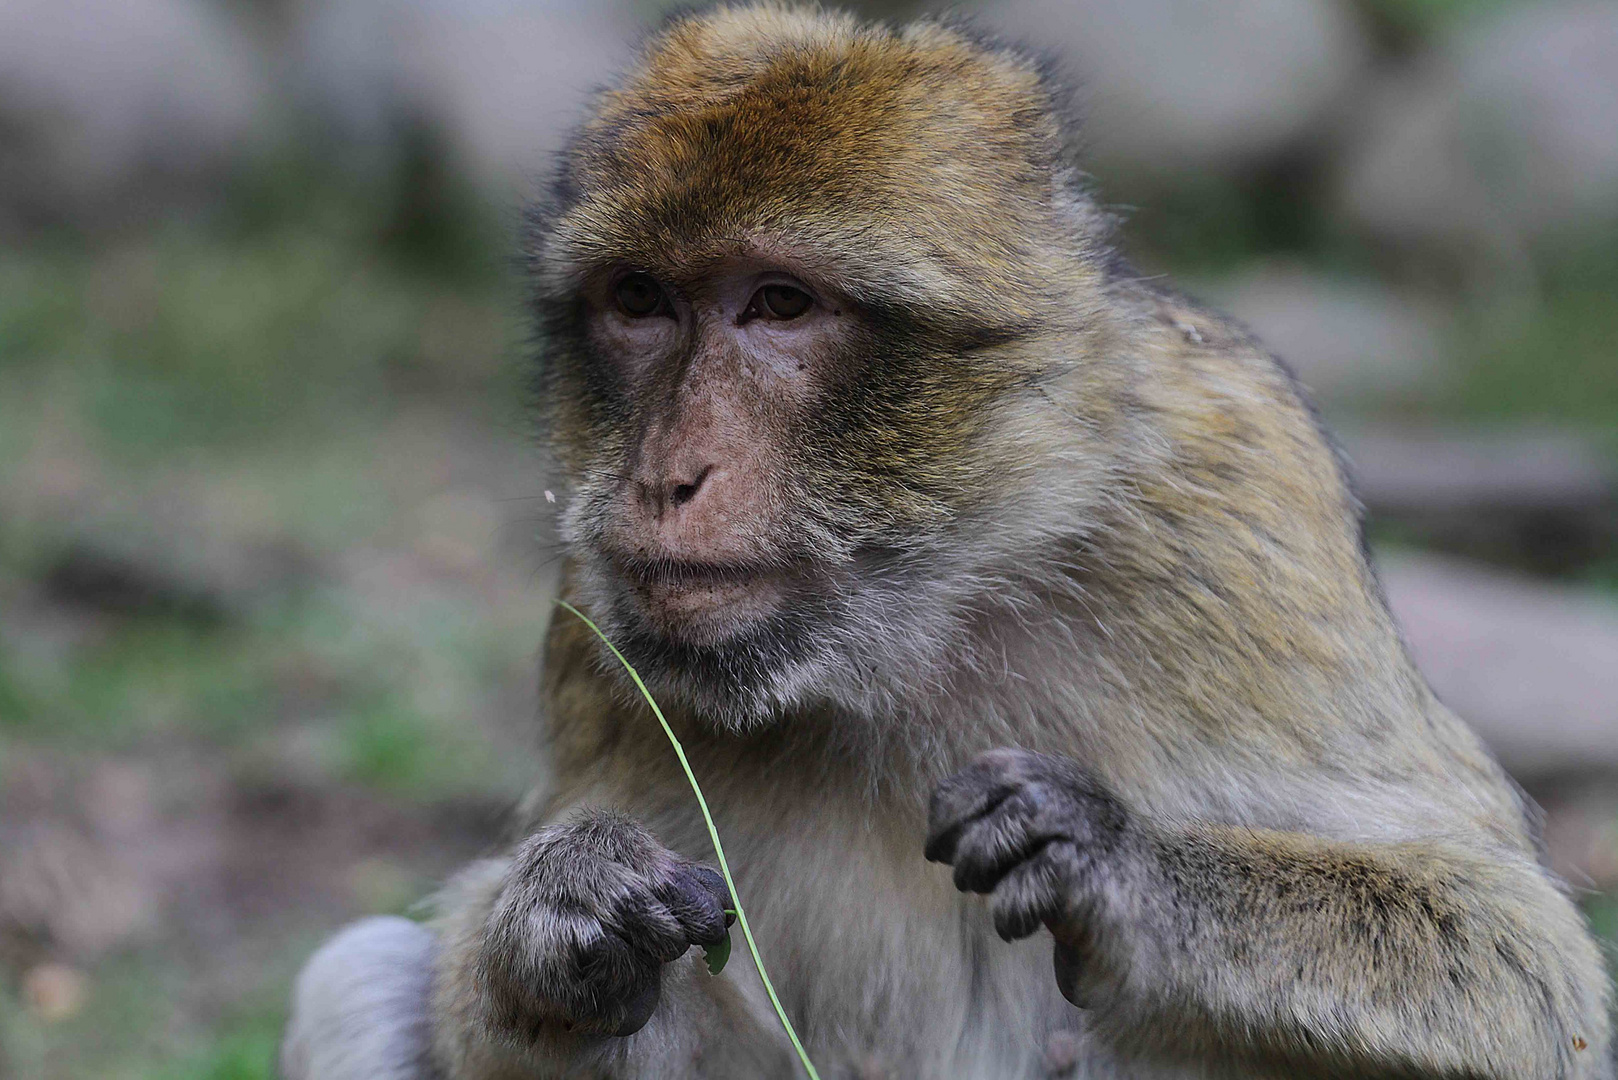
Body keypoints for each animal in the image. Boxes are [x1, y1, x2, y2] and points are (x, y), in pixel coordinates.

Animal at [284, 8, 1611, 1080]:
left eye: (780, 305)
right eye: (640, 303)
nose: (666, 477)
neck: (921, 617)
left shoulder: (1241, 508)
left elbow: (1527, 971)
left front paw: (1106, 860)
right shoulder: (595, 617)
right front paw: (566, 921)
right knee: (358, 973)